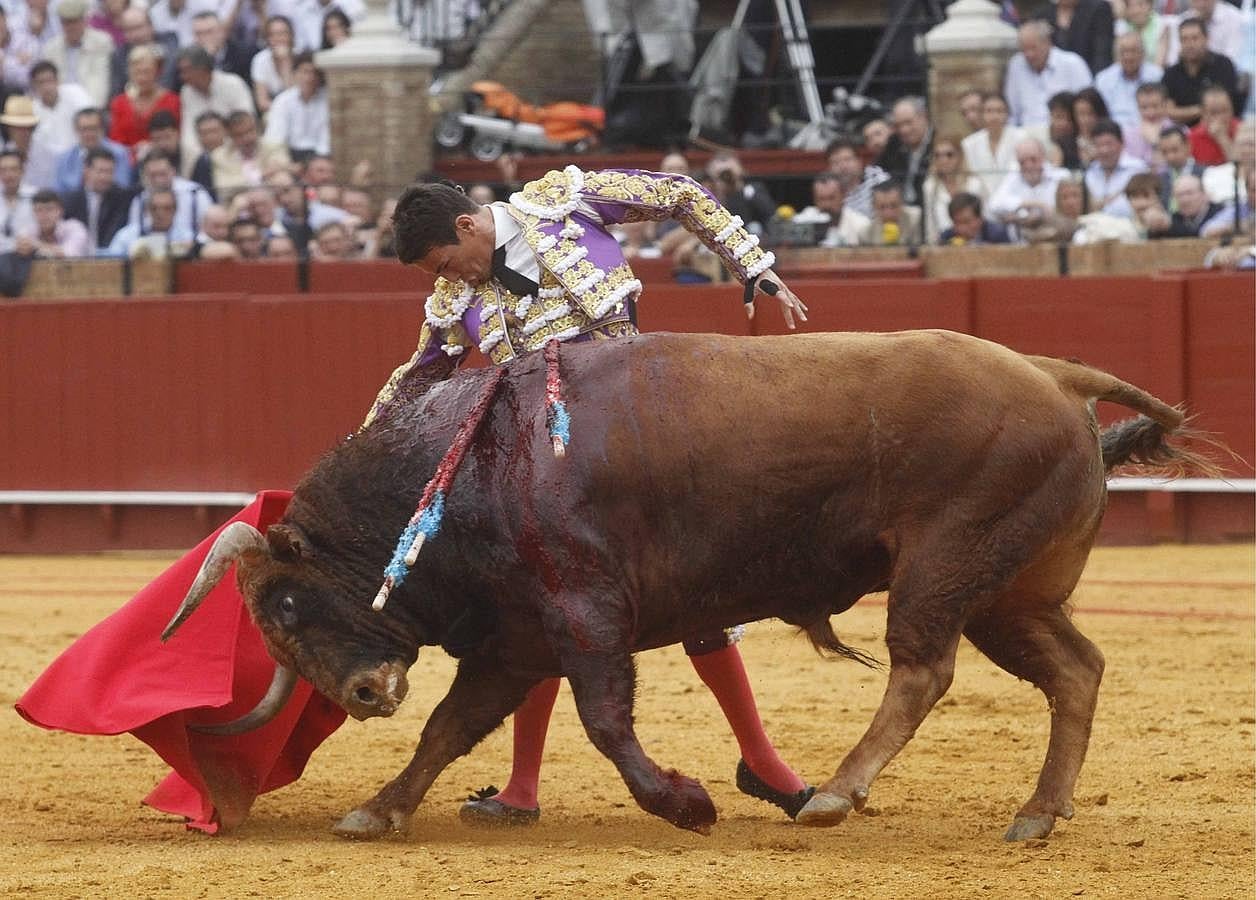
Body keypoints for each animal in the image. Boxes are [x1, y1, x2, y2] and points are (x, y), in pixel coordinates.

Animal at [162, 328, 1210, 843]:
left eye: (286, 603)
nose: (363, 694)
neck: (467, 468)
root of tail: (1052, 375)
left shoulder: (586, 614)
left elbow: (602, 720)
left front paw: (684, 804)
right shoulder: (515, 640)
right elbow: (451, 730)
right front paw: (379, 810)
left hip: (945, 566)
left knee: (923, 671)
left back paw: (834, 795)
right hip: (1010, 590)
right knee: (1075, 670)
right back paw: (1036, 814)